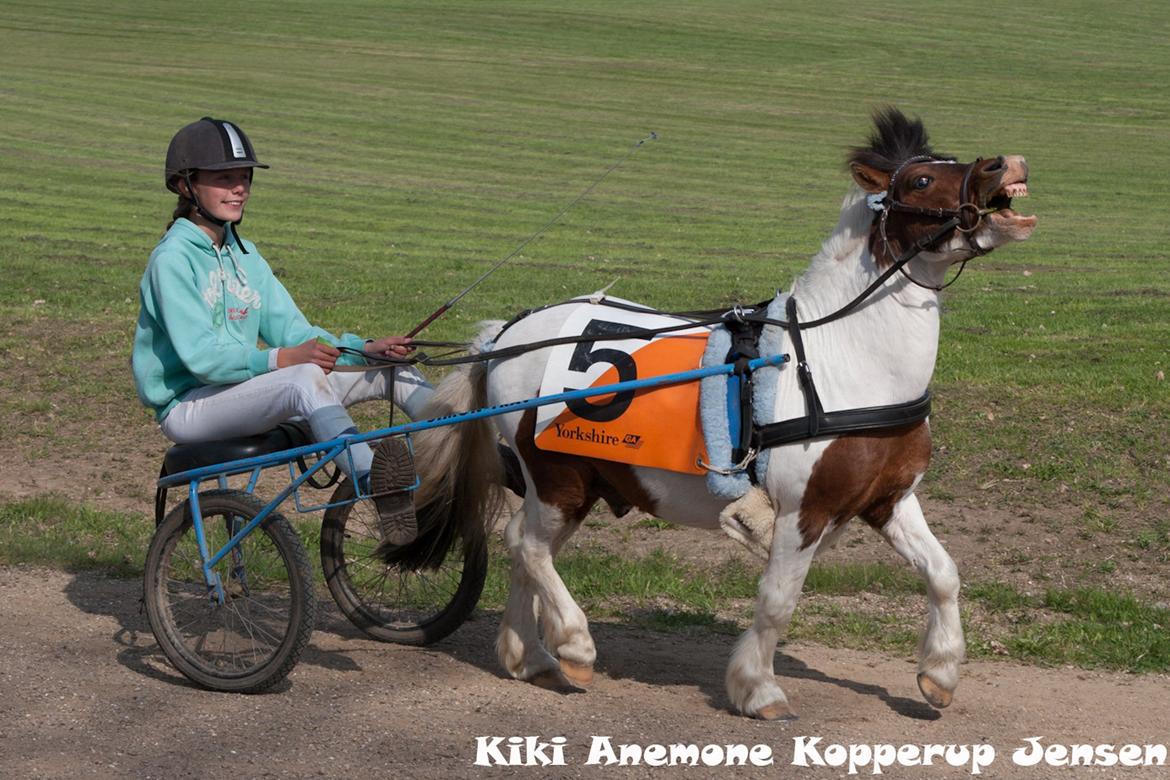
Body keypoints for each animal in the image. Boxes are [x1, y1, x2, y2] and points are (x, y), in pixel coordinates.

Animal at [407, 111, 1038, 720]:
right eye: (922, 179)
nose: (1004, 163)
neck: (839, 360)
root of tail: (504, 334)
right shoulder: (803, 512)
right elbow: (778, 601)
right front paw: (759, 689)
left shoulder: (888, 500)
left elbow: (943, 573)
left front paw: (940, 673)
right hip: (558, 478)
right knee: (529, 546)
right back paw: (573, 644)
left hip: (577, 483)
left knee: (524, 548)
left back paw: (531, 657)